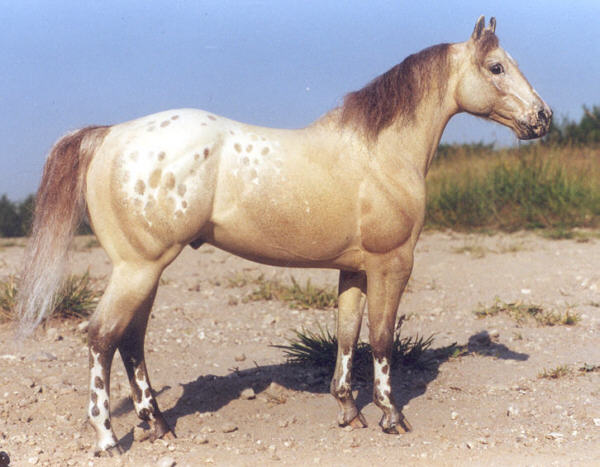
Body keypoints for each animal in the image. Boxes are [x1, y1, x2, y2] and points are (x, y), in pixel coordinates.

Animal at [17, 16, 551, 454]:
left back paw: (159, 425)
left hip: (143, 272)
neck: (381, 154)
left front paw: (348, 410)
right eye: (497, 67)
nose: (542, 118)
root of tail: (108, 135)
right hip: (138, 269)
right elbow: (380, 340)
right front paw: (390, 415)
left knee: (131, 341)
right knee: (102, 337)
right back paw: (108, 439)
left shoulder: (354, 269)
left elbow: (347, 334)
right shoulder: (391, 264)